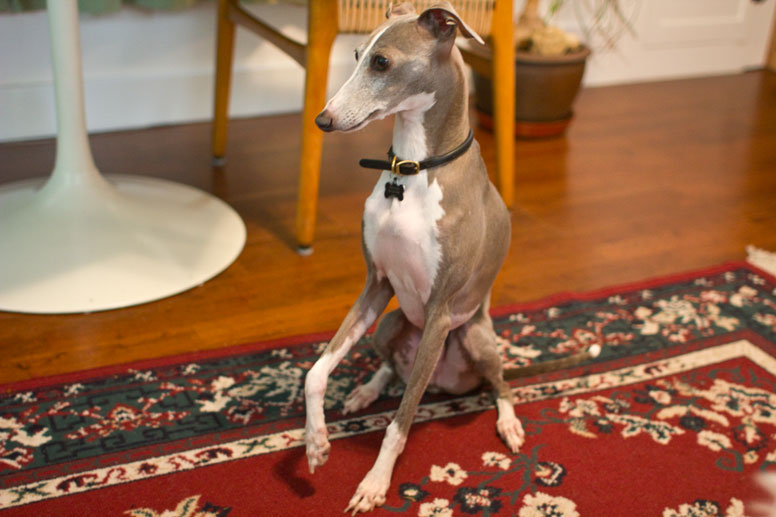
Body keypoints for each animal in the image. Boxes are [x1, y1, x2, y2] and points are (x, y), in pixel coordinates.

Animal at [304, 4, 600, 512]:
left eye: (381, 62)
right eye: (358, 55)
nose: (323, 119)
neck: (412, 171)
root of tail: (444, 385)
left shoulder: (440, 312)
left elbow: (400, 423)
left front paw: (374, 483)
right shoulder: (375, 286)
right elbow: (315, 373)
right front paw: (316, 443)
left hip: (473, 338)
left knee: (499, 384)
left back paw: (508, 423)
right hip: (390, 323)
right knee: (393, 368)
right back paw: (367, 390)